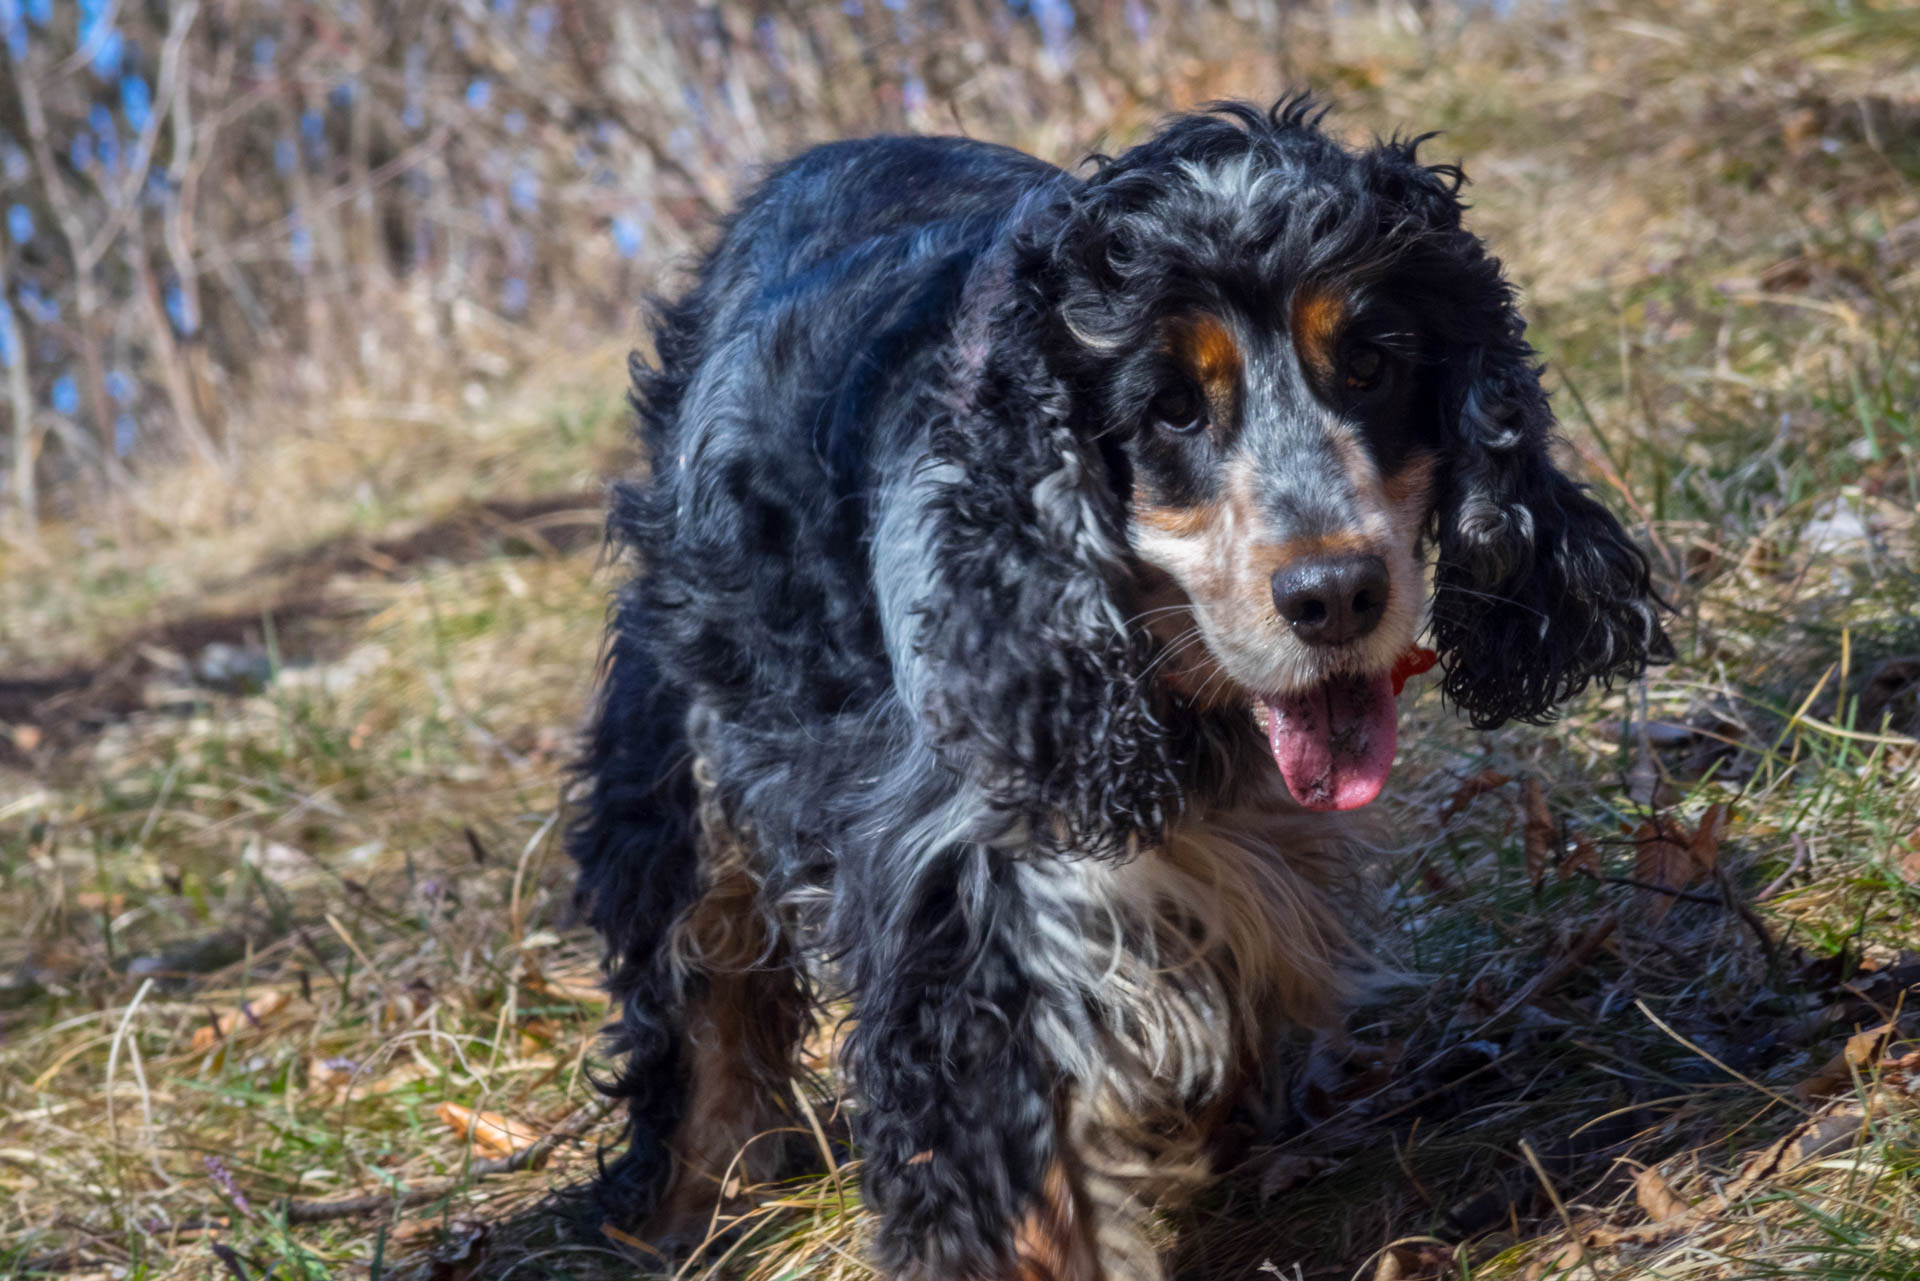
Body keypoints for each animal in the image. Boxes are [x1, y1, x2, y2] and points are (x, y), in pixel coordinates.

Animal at [564, 100, 1666, 1281]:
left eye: (1370, 363)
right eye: (1170, 409)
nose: (1334, 595)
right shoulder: (970, 898)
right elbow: (1020, 1173)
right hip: (681, 728)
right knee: (697, 976)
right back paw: (686, 1205)